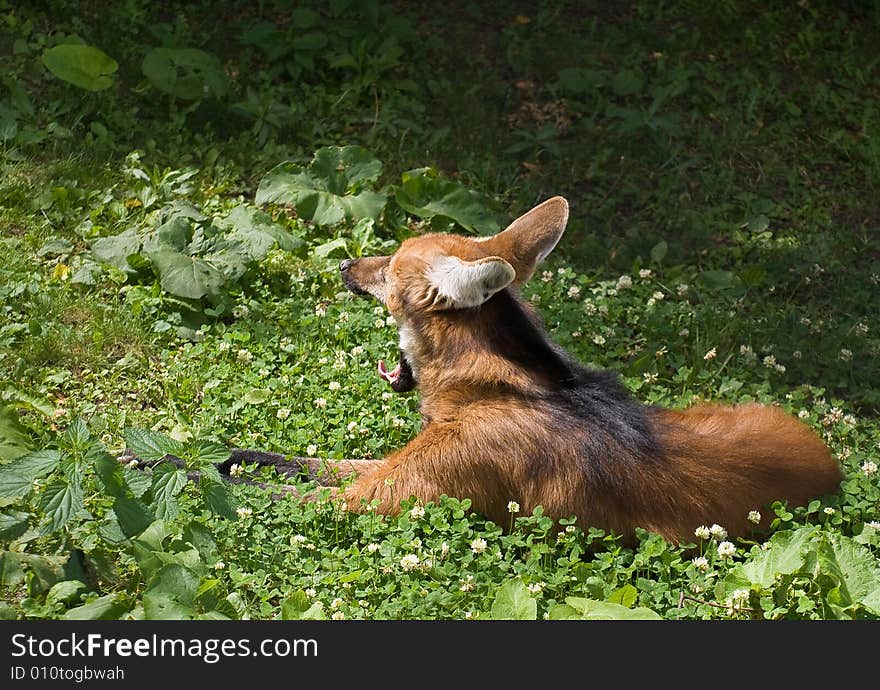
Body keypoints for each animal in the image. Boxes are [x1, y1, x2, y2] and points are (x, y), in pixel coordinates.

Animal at [300, 196, 840, 540]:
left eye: (390, 266)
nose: (345, 265)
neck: (489, 388)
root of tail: (833, 466)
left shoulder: (397, 491)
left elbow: (295, 492)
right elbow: (307, 463)